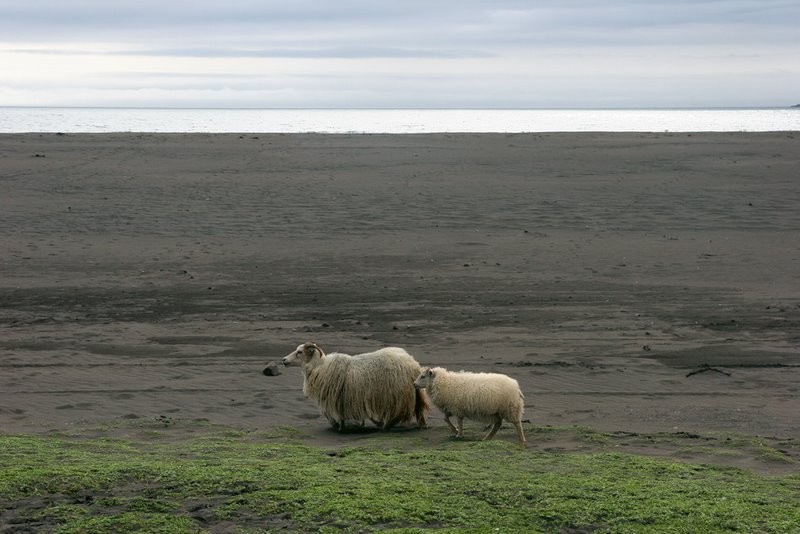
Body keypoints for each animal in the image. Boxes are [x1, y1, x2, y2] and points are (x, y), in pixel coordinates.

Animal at [282, 346, 432, 434]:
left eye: (300, 352)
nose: (283, 360)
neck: (320, 367)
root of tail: (412, 363)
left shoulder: (335, 399)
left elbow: (334, 415)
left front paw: (339, 426)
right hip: (413, 392)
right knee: (419, 409)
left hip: (397, 396)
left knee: (397, 413)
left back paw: (385, 425)